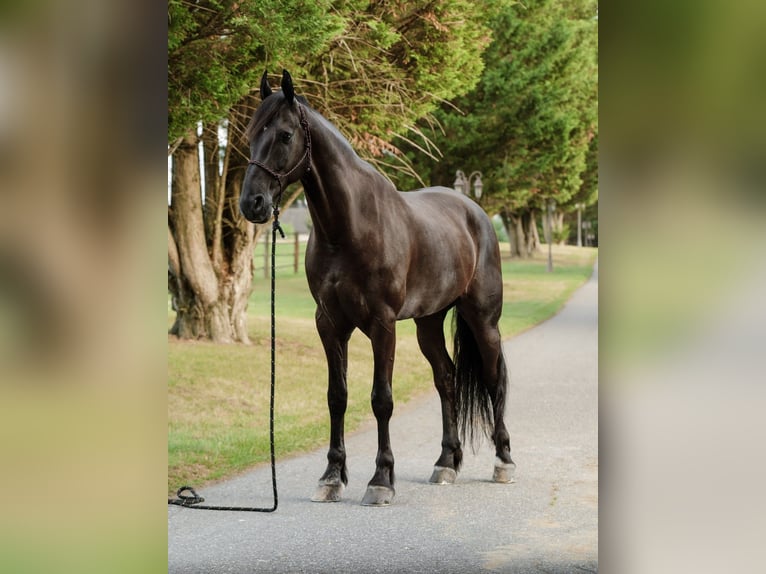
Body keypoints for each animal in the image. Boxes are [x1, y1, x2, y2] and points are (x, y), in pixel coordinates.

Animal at [240, 70, 515, 506]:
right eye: (251, 134)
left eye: (284, 135)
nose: (252, 203)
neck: (350, 227)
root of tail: (475, 212)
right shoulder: (329, 324)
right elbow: (337, 397)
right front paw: (331, 477)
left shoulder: (382, 324)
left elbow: (381, 399)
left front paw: (381, 480)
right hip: (428, 324)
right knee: (447, 379)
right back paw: (446, 463)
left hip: (483, 320)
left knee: (493, 379)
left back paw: (503, 461)